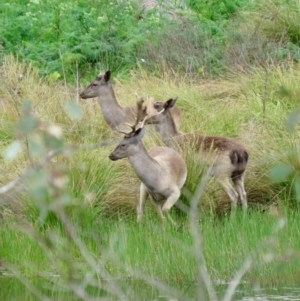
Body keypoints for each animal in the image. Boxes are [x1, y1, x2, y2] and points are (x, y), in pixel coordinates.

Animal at [108, 96, 188, 225]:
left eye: (123, 144)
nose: (111, 155)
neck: (156, 181)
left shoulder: (175, 191)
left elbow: (165, 210)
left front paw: (175, 225)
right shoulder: (153, 196)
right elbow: (160, 214)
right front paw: (168, 225)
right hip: (143, 188)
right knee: (140, 208)